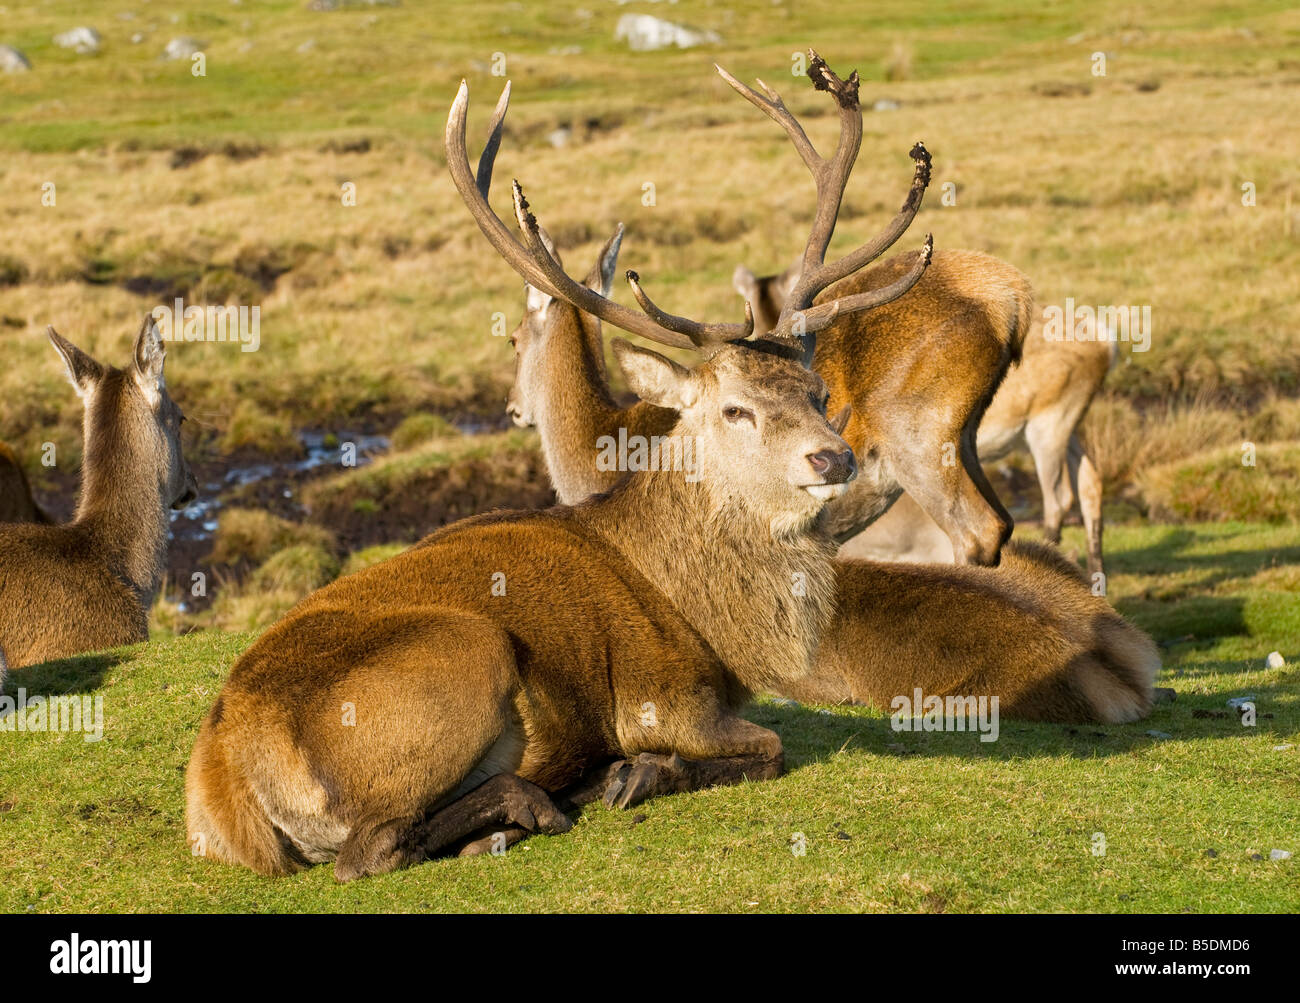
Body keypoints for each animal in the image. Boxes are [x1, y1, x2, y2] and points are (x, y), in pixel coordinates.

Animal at [185, 58, 935, 883]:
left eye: (819, 392)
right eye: (734, 408)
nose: (833, 455)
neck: (704, 618)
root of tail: (224, 783)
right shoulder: (659, 694)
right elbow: (767, 747)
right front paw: (640, 772)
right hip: (466, 653)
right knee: (372, 847)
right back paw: (534, 803)